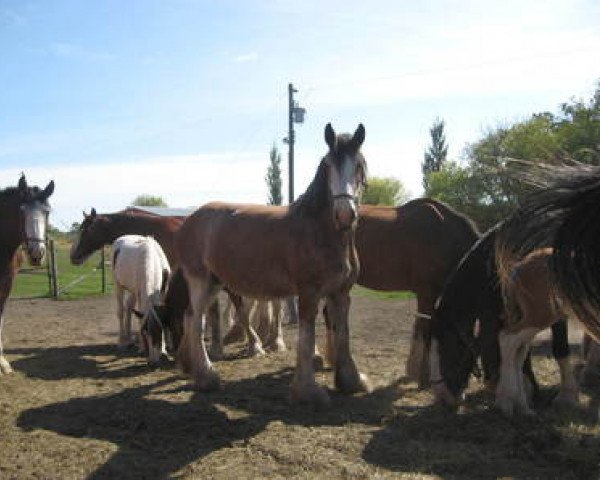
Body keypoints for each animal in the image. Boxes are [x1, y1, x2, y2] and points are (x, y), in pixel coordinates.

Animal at [112, 235, 170, 364]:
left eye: (159, 331)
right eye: (145, 332)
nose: (152, 362)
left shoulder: (164, 291)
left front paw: (164, 350)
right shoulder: (140, 293)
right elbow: (139, 319)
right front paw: (142, 348)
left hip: (132, 291)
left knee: (129, 306)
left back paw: (129, 340)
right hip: (118, 284)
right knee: (121, 311)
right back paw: (122, 342)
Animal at [175, 122, 366, 404]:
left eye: (359, 166)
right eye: (328, 165)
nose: (344, 215)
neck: (320, 231)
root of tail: (189, 220)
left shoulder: (341, 293)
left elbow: (343, 334)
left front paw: (351, 381)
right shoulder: (308, 293)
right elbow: (306, 338)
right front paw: (307, 391)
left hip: (214, 282)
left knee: (189, 318)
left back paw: (192, 369)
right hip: (200, 280)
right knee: (195, 320)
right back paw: (207, 377)